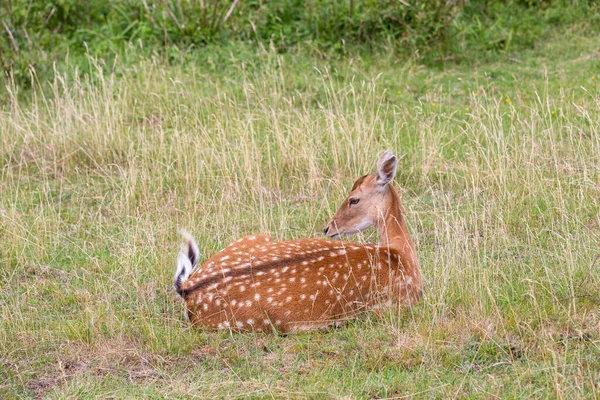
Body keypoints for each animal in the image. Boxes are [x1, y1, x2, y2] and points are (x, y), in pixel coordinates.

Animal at [173, 150, 422, 332]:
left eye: (354, 200)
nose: (328, 228)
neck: (402, 256)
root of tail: (188, 289)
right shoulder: (392, 306)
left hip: (256, 236)